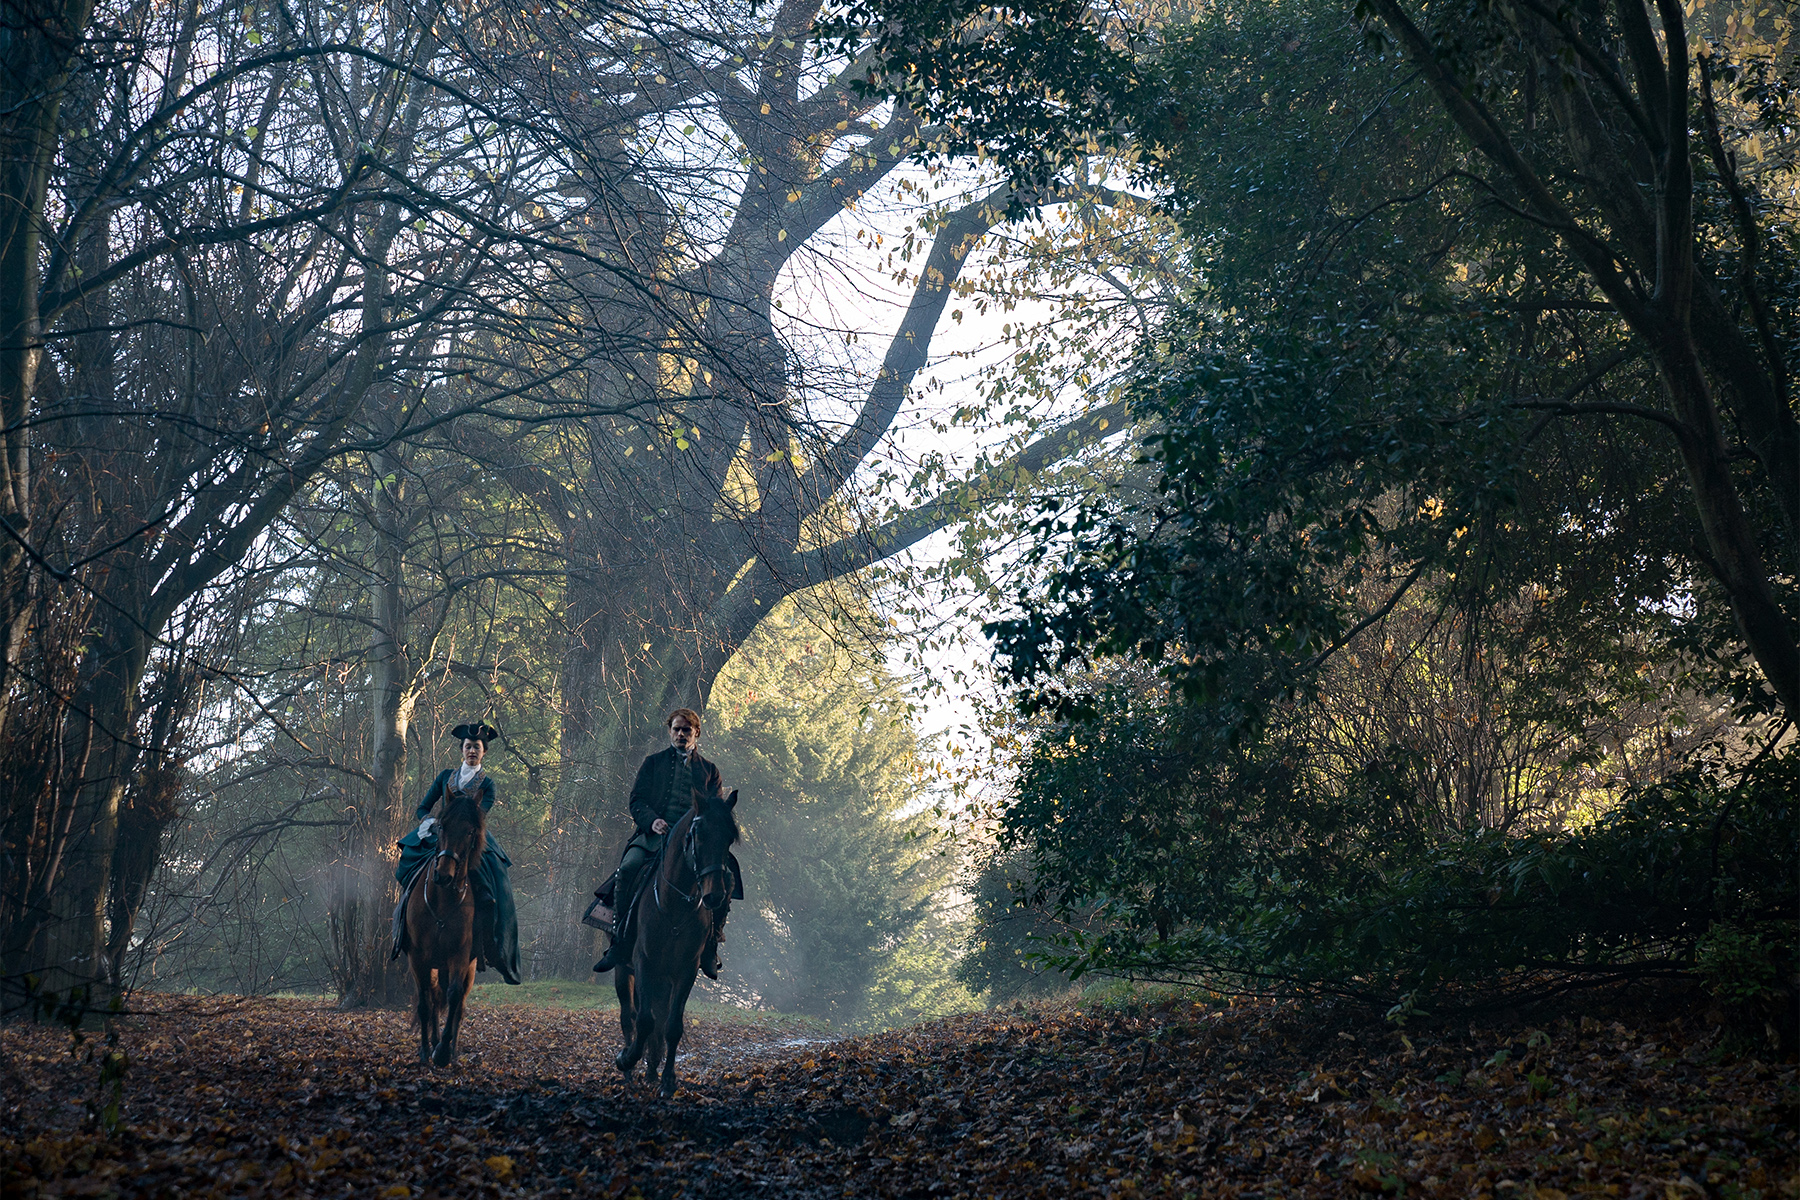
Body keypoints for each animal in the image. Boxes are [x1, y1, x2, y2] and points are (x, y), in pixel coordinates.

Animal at [405, 791, 482, 1065]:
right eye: (441, 827)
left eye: (470, 831)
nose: (444, 875)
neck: (442, 899)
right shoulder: (417, 957)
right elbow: (425, 1003)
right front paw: (426, 1049)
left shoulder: (459, 956)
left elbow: (454, 996)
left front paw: (443, 1052)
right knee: (434, 999)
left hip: (465, 966)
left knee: (457, 1004)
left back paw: (452, 1049)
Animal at [612, 788, 738, 1101]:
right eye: (698, 834)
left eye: (729, 837)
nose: (714, 896)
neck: (674, 907)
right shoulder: (644, 963)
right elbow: (643, 1020)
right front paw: (627, 1059)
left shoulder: (685, 971)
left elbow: (671, 1026)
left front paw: (668, 1080)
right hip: (623, 968)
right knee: (628, 1015)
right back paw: (630, 1068)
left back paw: (651, 1071)